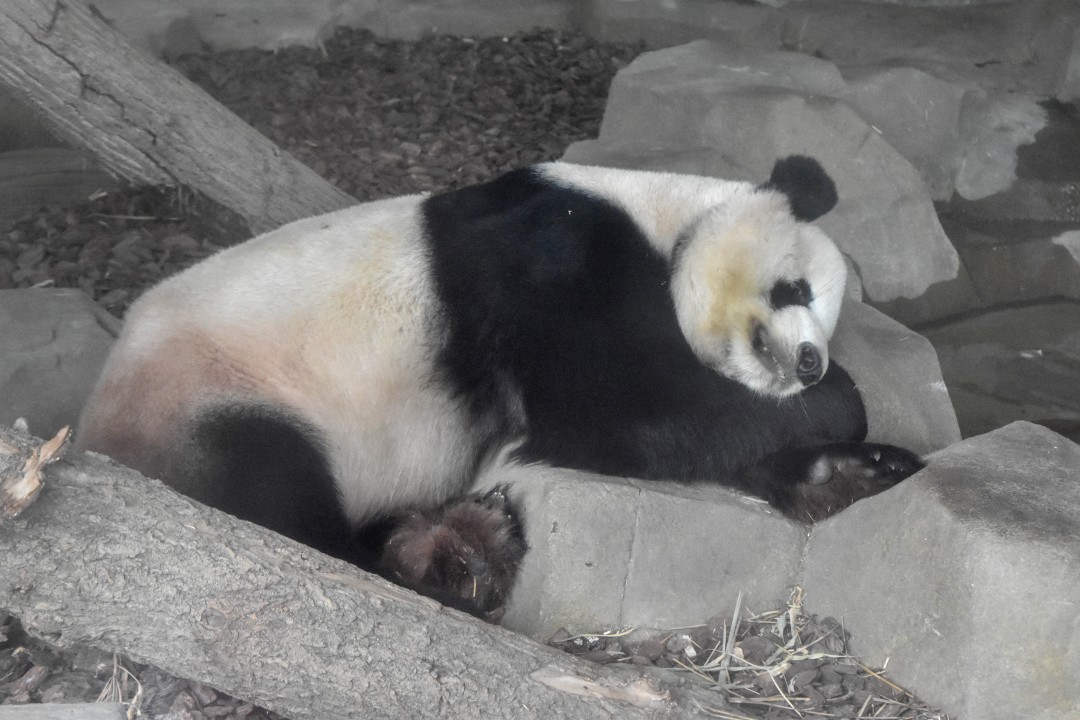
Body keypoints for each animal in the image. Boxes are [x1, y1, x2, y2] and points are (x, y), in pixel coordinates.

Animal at [75, 156, 922, 619]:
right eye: (795, 289)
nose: (809, 361)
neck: (662, 214)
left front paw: (847, 471)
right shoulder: (555, 258)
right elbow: (621, 415)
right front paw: (841, 403)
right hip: (215, 391)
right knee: (271, 492)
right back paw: (443, 566)